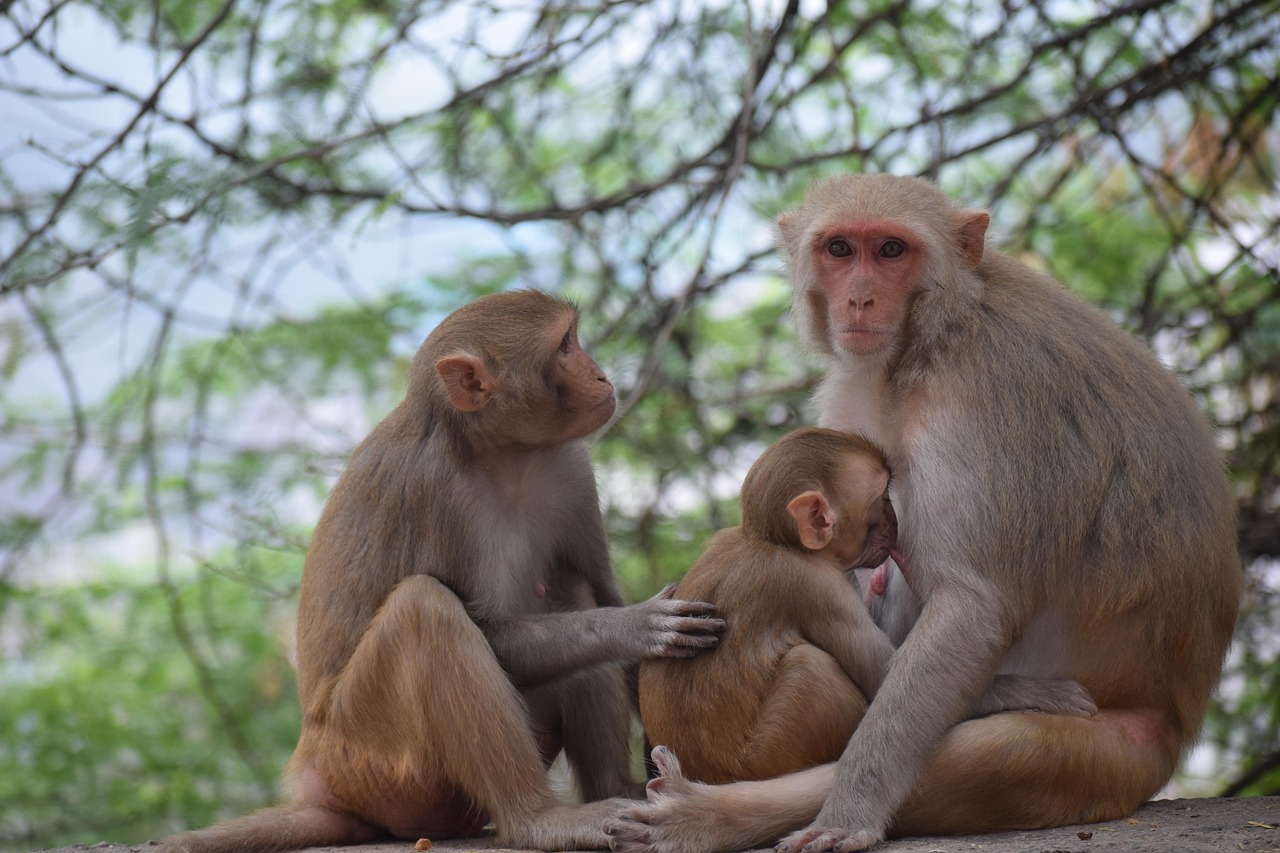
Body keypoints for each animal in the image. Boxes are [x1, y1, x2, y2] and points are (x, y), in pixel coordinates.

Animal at [161, 289, 726, 853]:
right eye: (565, 346)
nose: (603, 377)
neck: (503, 454)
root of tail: (326, 788)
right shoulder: (433, 490)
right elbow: (489, 630)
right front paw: (635, 626)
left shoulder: (571, 469)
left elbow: (601, 590)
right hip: (373, 761)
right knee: (424, 608)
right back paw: (539, 820)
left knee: (568, 584)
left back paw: (617, 789)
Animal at [638, 427, 1095, 785]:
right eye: (881, 499)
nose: (896, 520)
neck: (769, 539)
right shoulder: (816, 585)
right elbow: (882, 677)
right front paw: (1042, 693)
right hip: (768, 755)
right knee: (811, 666)